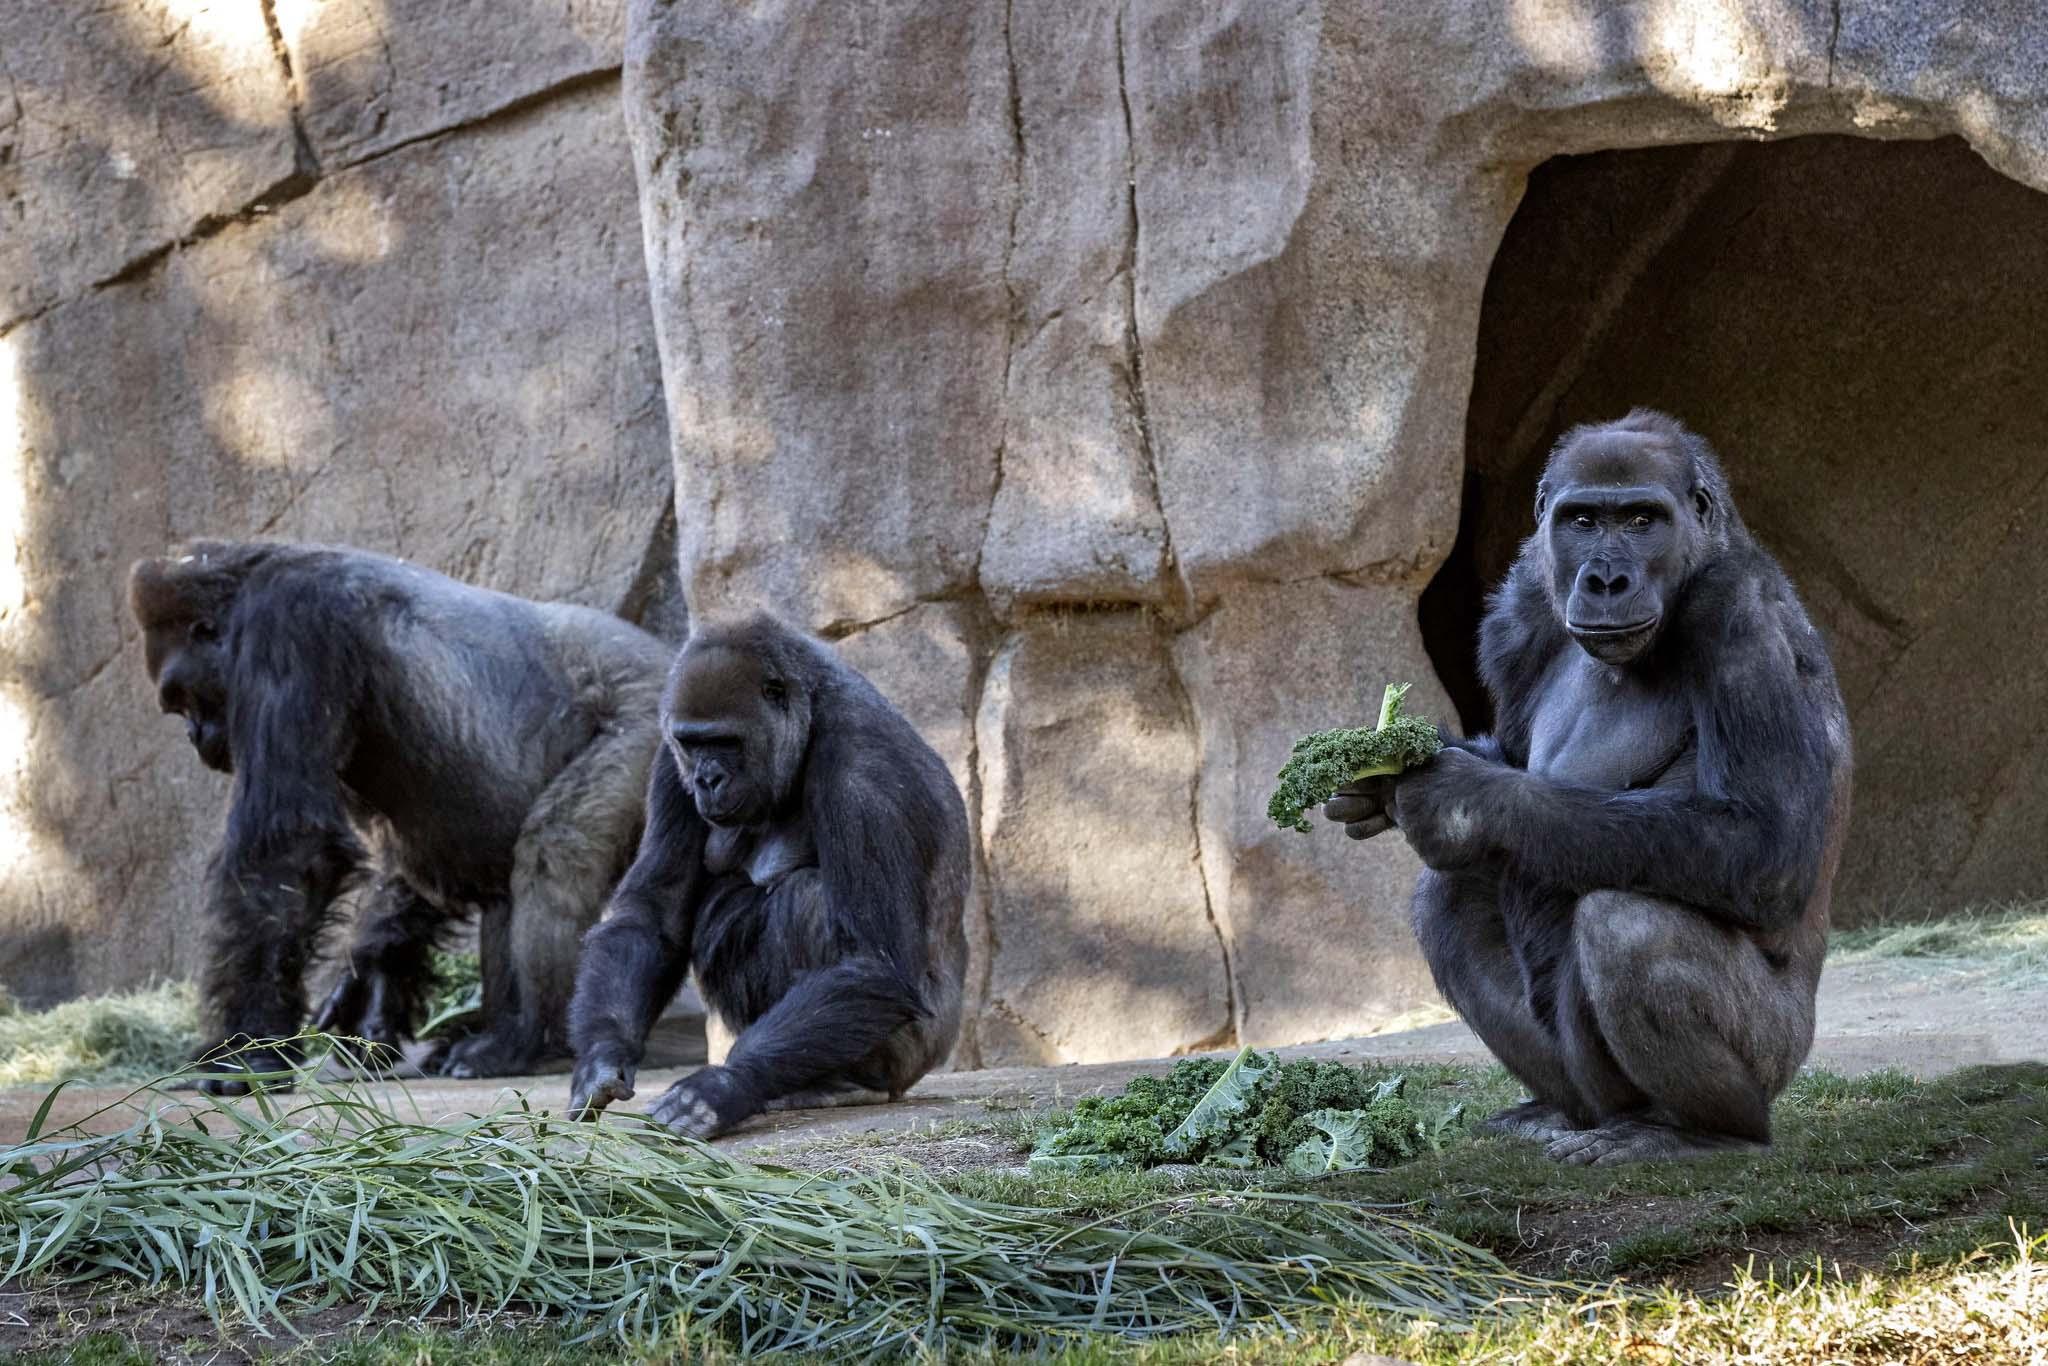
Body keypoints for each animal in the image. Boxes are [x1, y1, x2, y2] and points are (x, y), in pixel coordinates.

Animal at [128, 540, 667, 1097]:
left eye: (183, 696)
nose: (194, 736)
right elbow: (411, 860)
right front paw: (372, 972)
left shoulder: (288, 620)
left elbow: (291, 850)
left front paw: (246, 1049)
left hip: (650, 717)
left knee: (555, 851)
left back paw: (526, 1038)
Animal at [569, 614, 966, 1138]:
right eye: (693, 743)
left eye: (725, 741)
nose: (707, 780)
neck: (812, 715)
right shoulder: (669, 763)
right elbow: (652, 916)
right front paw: (600, 1058)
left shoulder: (864, 772)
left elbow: (872, 962)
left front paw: (725, 1085)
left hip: (917, 1053)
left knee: (805, 898)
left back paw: (845, 1082)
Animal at [1327, 409, 1859, 1163]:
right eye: (1582, 520)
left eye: (1641, 519)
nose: (1606, 578)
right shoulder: (1521, 610)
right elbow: (1512, 756)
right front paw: (1384, 777)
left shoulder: (1739, 608)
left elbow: (1763, 841)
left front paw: (1460, 801)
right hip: (1585, 1085)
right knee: (1449, 900)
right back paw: (1561, 1111)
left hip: (1780, 1053)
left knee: (1628, 925)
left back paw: (1700, 1131)